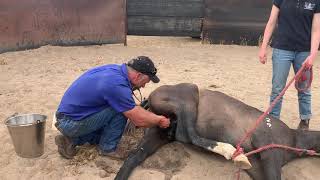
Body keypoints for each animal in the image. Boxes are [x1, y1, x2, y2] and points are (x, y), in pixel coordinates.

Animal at [115, 83, 320, 180]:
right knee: (187, 135)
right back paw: (230, 151)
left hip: (158, 134)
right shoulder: (269, 150)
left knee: (133, 157)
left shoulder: (258, 166)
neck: (293, 139)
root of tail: (150, 97)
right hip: (189, 98)